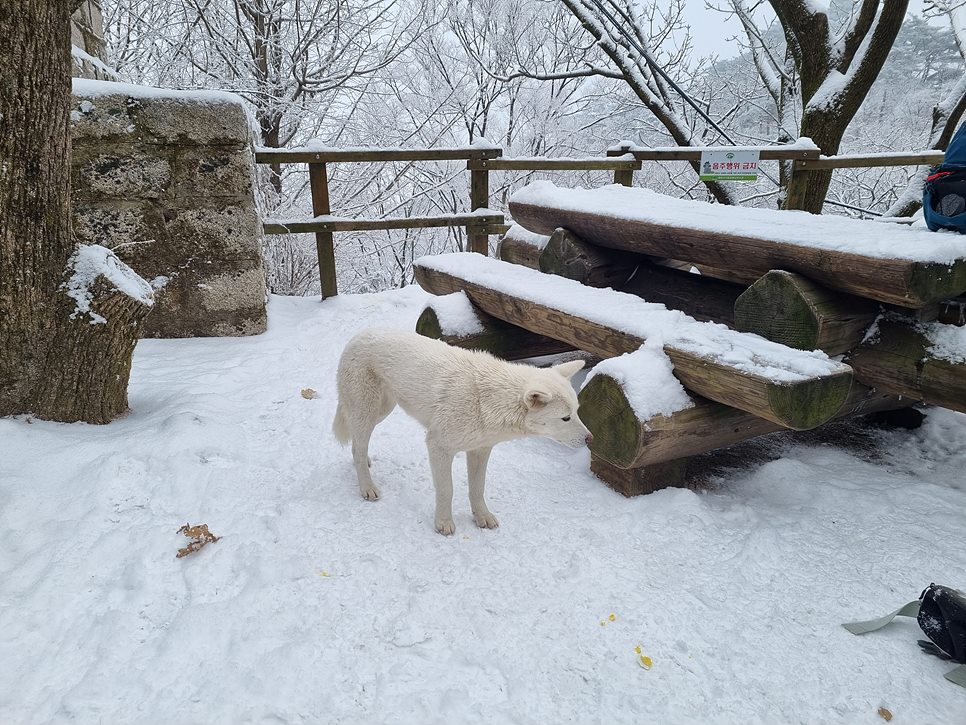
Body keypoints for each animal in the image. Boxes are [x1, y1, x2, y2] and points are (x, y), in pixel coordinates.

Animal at [332, 328, 592, 532]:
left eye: (577, 412)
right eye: (565, 418)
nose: (590, 439)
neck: (487, 401)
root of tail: (359, 335)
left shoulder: (480, 451)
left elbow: (477, 489)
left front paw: (482, 517)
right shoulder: (438, 447)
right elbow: (447, 490)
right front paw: (444, 523)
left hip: (381, 411)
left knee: (358, 444)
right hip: (367, 413)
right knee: (357, 447)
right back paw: (367, 487)